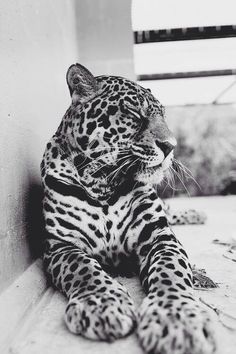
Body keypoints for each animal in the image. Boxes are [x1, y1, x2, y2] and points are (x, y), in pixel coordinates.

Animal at [41, 63, 217, 354]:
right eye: (134, 112)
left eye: (163, 116)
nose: (171, 146)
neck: (102, 183)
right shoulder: (60, 246)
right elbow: (83, 269)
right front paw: (102, 304)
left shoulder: (159, 236)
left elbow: (171, 271)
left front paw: (178, 318)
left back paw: (197, 213)